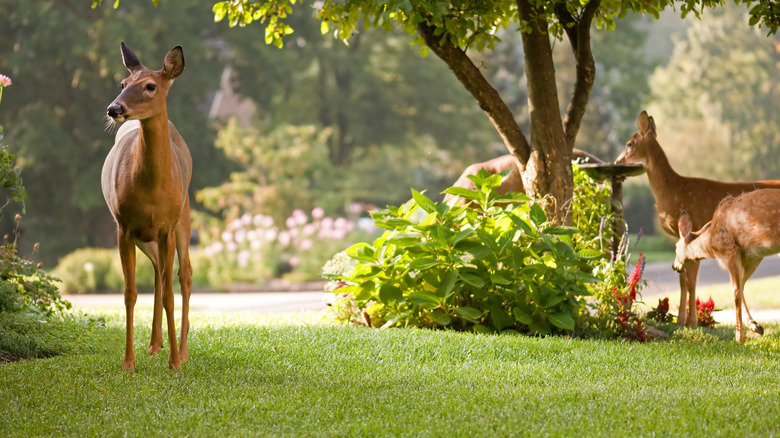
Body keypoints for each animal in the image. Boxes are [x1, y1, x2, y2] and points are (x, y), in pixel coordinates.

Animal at [102, 41, 193, 372]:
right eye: (123, 83)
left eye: (151, 86)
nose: (114, 109)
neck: (152, 189)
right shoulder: (123, 227)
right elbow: (130, 294)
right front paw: (129, 362)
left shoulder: (167, 225)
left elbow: (170, 294)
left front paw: (175, 363)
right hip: (144, 235)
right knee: (157, 271)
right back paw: (155, 344)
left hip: (184, 216)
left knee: (184, 275)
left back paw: (182, 350)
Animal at [616, 111, 780, 326]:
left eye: (629, 144)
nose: (617, 162)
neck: (672, 191)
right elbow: (682, 278)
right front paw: (680, 321)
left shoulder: (696, 225)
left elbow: (691, 279)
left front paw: (692, 322)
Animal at [672, 190, 780, 344]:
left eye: (675, 247)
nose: (674, 266)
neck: (710, 242)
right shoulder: (753, 256)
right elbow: (741, 287)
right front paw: (755, 326)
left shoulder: (730, 251)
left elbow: (735, 292)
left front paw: (739, 337)